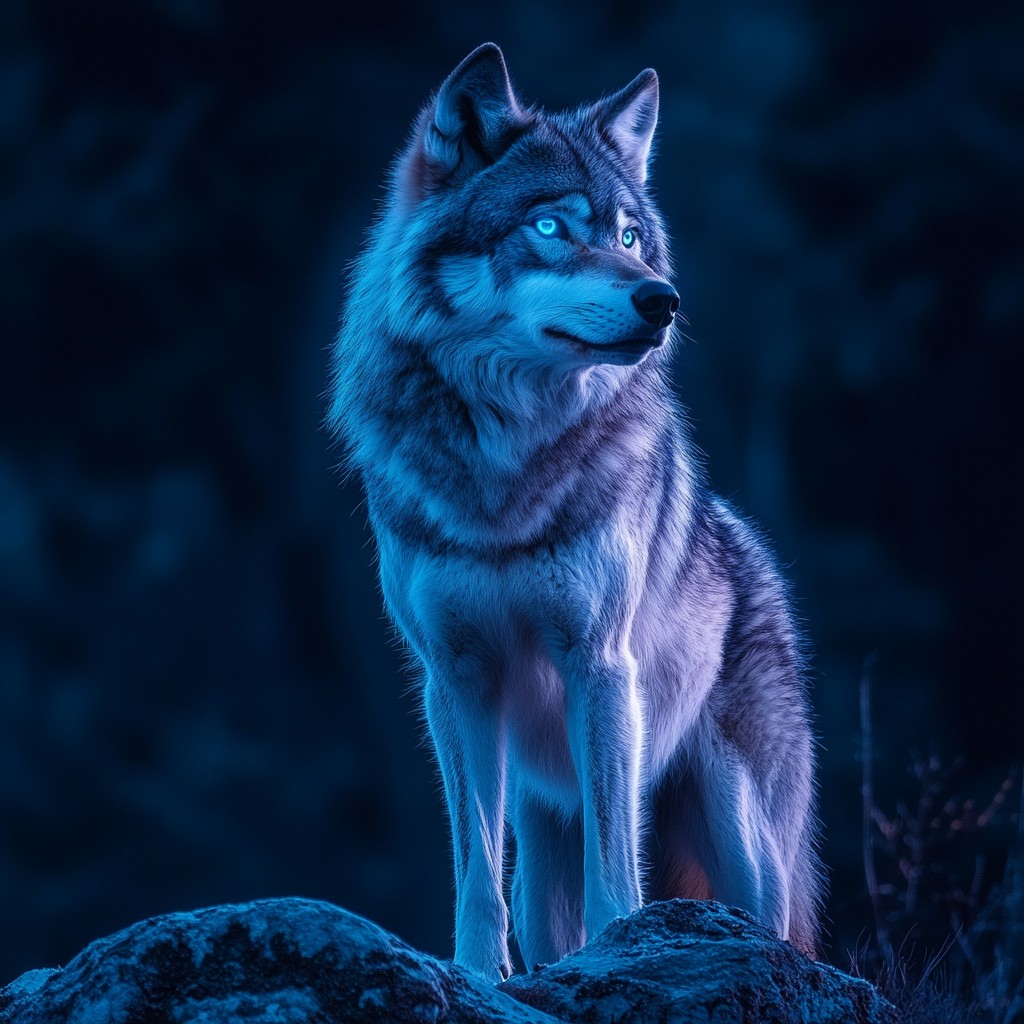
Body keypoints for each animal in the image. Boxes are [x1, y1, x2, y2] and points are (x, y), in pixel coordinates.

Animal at [329, 43, 822, 981]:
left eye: (629, 236)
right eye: (553, 229)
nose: (661, 300)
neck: (504, 476)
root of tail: (755, 554)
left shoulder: (600, 664)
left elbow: (614, 862)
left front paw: (620, 949)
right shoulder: (458, 679)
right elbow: (474, 867)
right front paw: (476, 975)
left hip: (739, 831)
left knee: (773, 929)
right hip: (541, 835)